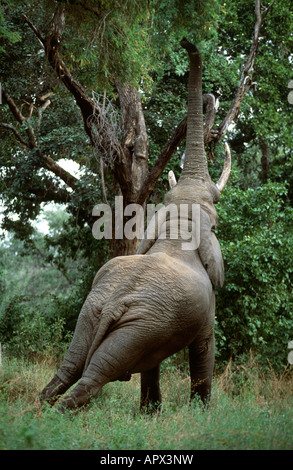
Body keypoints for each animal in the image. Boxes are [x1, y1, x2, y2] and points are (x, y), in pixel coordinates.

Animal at [39, 37, 230, 412]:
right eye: (215, 220)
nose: (187, 40)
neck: (177, 230)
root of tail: (115, 303)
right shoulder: (203, 312)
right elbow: (204, 347)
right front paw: (200, 414)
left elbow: (151, 361)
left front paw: (150, 415)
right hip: (142, 324)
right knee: (92, 378)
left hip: (105, 315)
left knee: (72, 366)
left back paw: (39, 408)